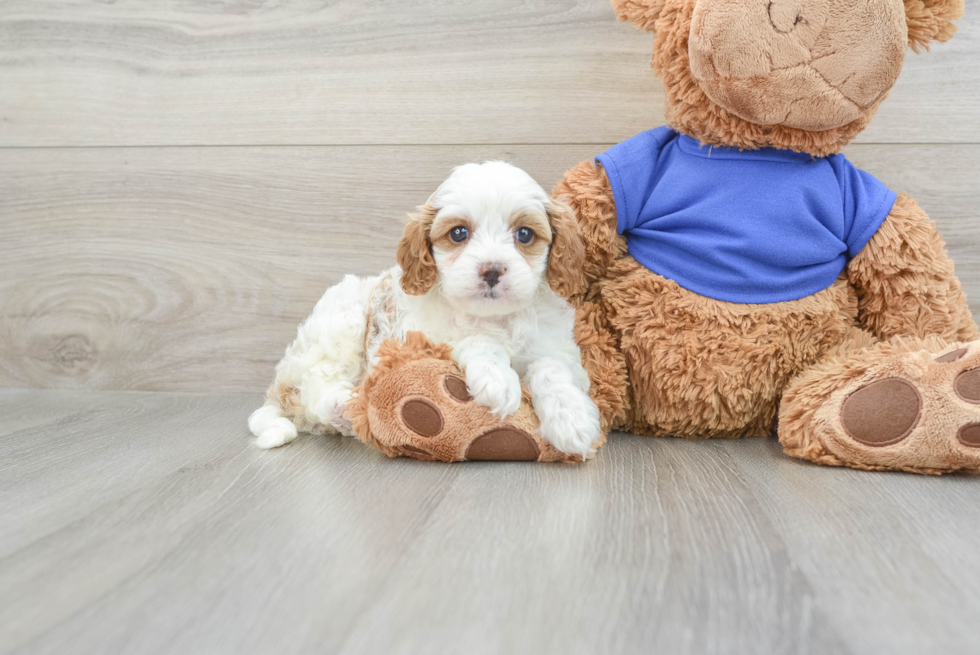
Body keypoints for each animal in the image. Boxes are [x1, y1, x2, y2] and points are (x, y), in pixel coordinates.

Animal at [249, 163, 600, 462]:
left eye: (524, 234)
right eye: (458, 233)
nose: (491, 270)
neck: (495, 316)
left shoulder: (560, 349)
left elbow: (551, 368)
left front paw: (572, 419)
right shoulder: (423, 340)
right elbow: (477, 340)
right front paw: (498, 379)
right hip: (343, 318)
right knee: (313, 385)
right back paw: (344, 405)